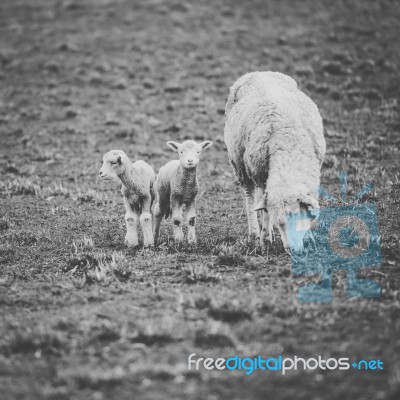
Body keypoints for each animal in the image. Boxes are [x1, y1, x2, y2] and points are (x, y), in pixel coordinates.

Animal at [223, 72, 326, 252]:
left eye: (296, 216)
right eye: (280, 224)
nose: (292, 250)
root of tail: (258, 72)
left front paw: (309, 238)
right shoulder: (262, 177)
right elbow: (266, 213)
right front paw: (265, 239)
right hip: (241, 164)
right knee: (250, 196)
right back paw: (255, 233)